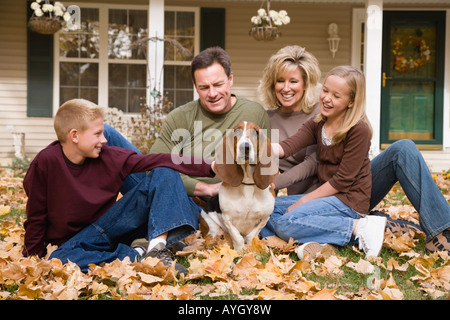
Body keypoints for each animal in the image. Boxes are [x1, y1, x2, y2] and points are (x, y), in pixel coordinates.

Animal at [200, 120, 278, 250]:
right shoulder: (227, 219)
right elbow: (238, 238)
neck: (247, 185)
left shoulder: (264, 219)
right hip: (211, 226)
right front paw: (239, 251)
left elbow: (251, 236)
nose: (245, 147)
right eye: (236, 131)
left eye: (256, 132)